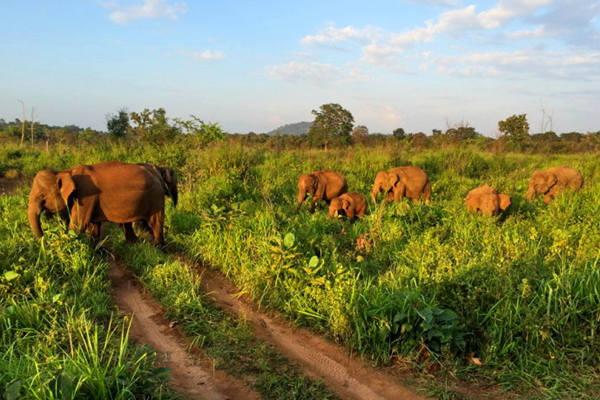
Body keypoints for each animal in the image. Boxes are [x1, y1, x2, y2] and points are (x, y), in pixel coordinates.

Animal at [27, 161, 168, 245]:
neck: (66, 172)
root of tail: (157, 175)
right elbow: (93, 226)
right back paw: (135, 244)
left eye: (42, 196)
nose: (45, 240)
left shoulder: (85, 196)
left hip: (156, 198)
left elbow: (77, 226)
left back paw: (158, 248)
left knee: (155, 222)